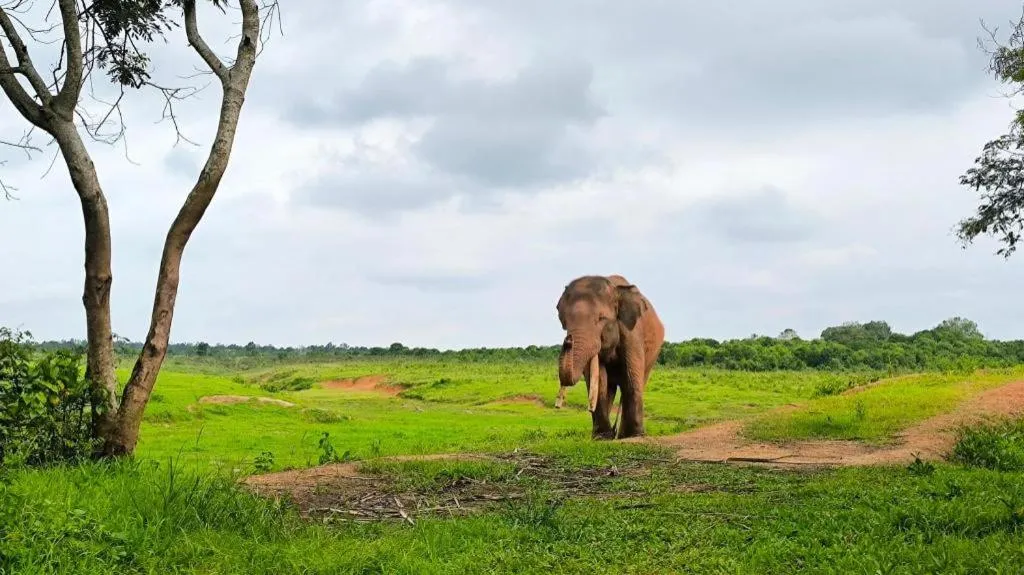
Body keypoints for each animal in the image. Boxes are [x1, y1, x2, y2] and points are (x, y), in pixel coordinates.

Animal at [554, 274, 665, 439]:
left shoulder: (632, 332)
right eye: (564, 321)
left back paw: (623, 434)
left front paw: (634, 435)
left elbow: (631, 377)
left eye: (601, 318)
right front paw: (601, 437)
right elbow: (599, 380)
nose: (568, 340)